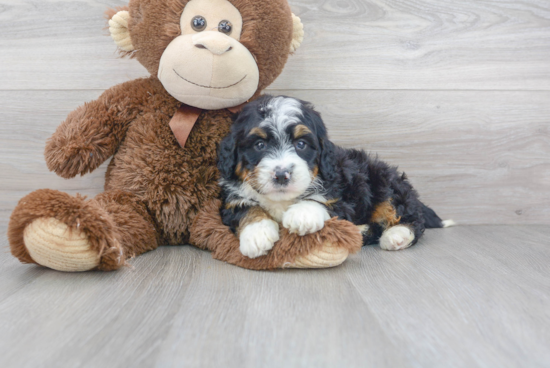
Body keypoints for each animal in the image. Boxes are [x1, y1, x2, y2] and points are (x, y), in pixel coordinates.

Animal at [218, 94, 454, 258]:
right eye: (259, 145)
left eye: (301, 144)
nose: (282, 175)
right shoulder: (231, 201)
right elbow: (248, 208)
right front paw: (257, 234)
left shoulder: (342, 193)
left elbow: (322, 200)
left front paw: (302, 214)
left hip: (386, 182)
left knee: (410, 218)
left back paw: (397, 235)